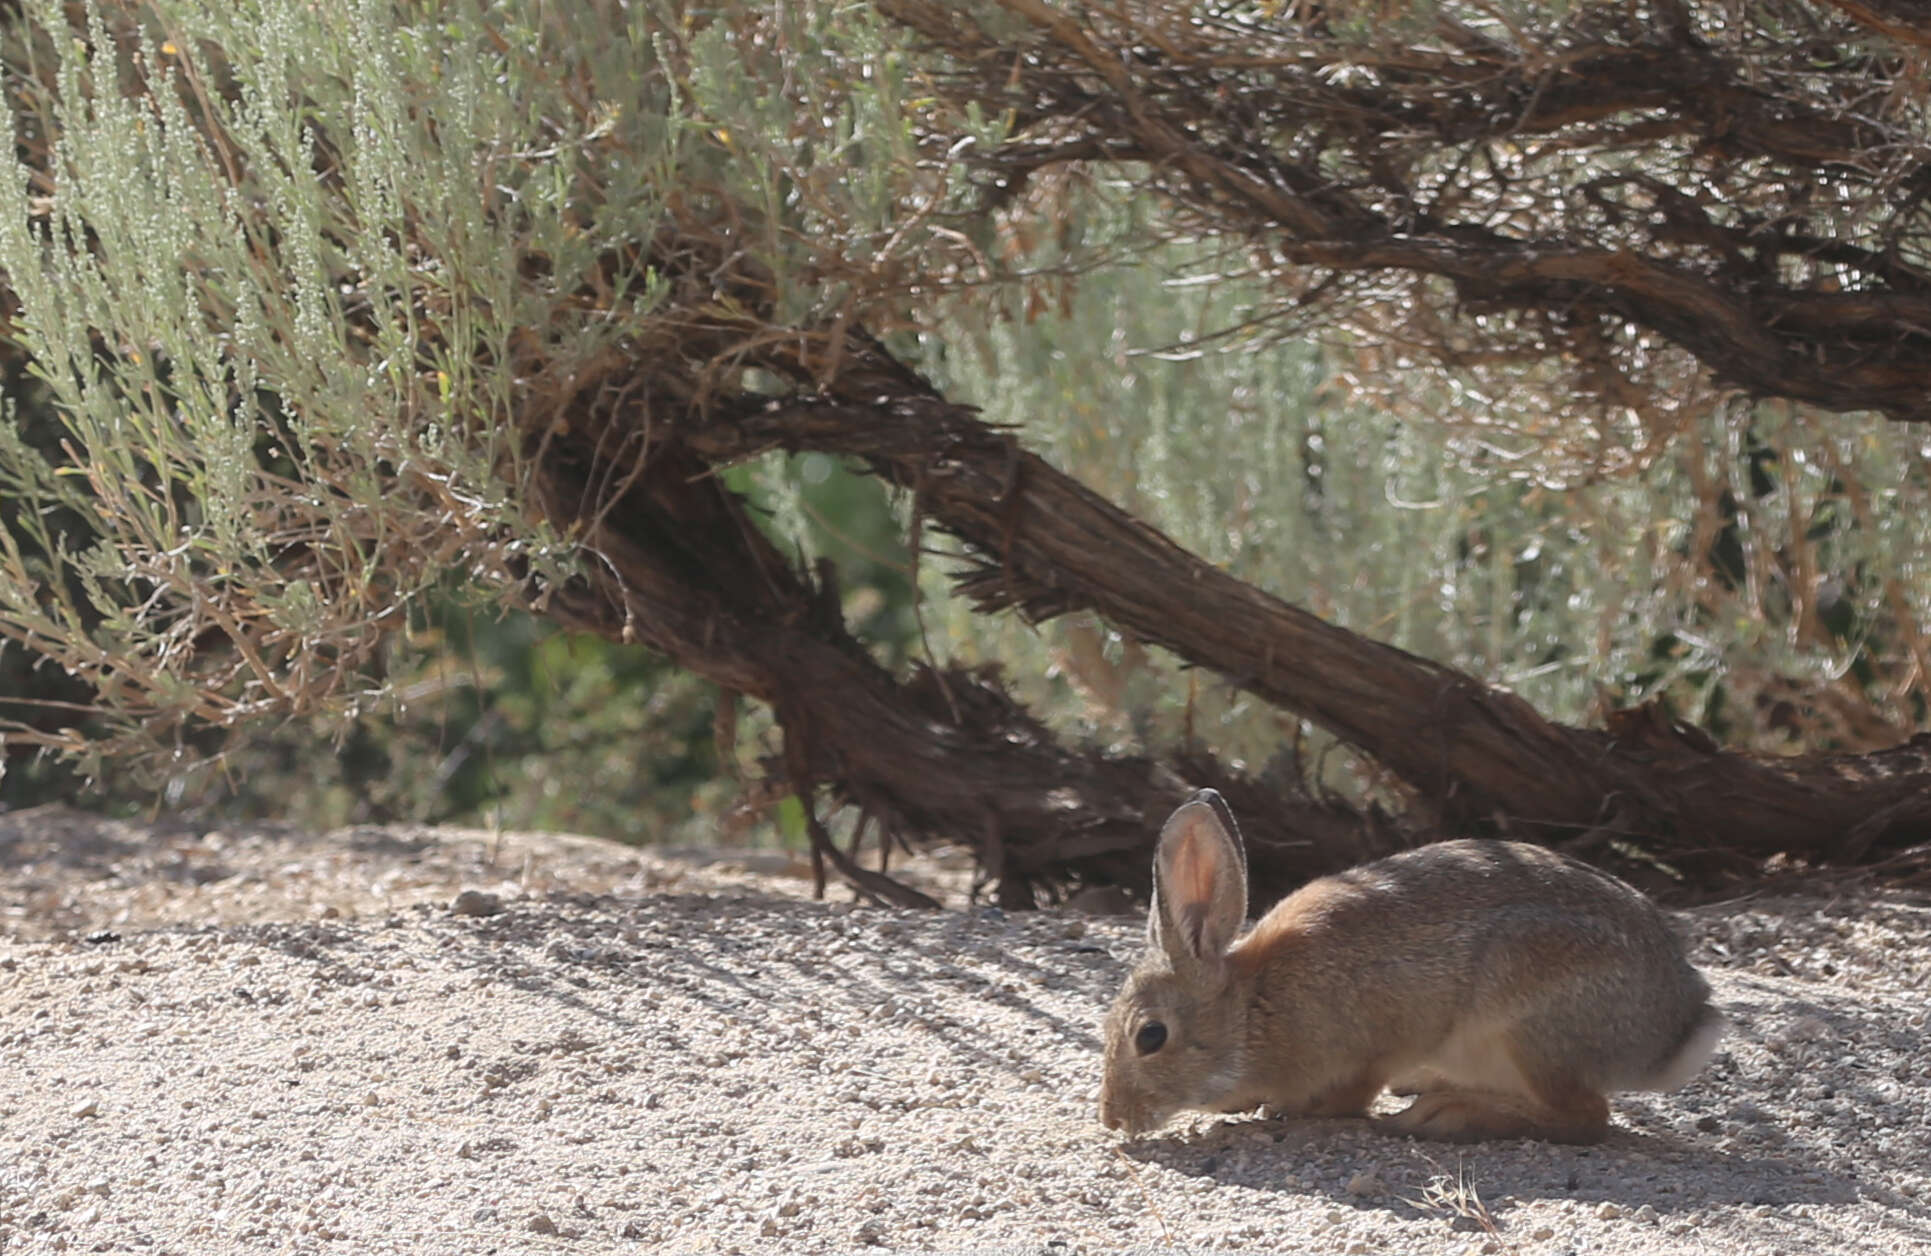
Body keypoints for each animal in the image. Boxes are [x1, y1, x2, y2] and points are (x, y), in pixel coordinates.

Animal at [1104, 788, 1722, 1136]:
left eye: (1151, 1036)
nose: (1112, 1119)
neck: (1252, 1010)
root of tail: (1681, 1026)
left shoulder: (1374, 1041)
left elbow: (1352, 1092)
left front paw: (1293, 1112)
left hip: (1529, 1023)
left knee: (1586, 1117)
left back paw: (1446, 1116)